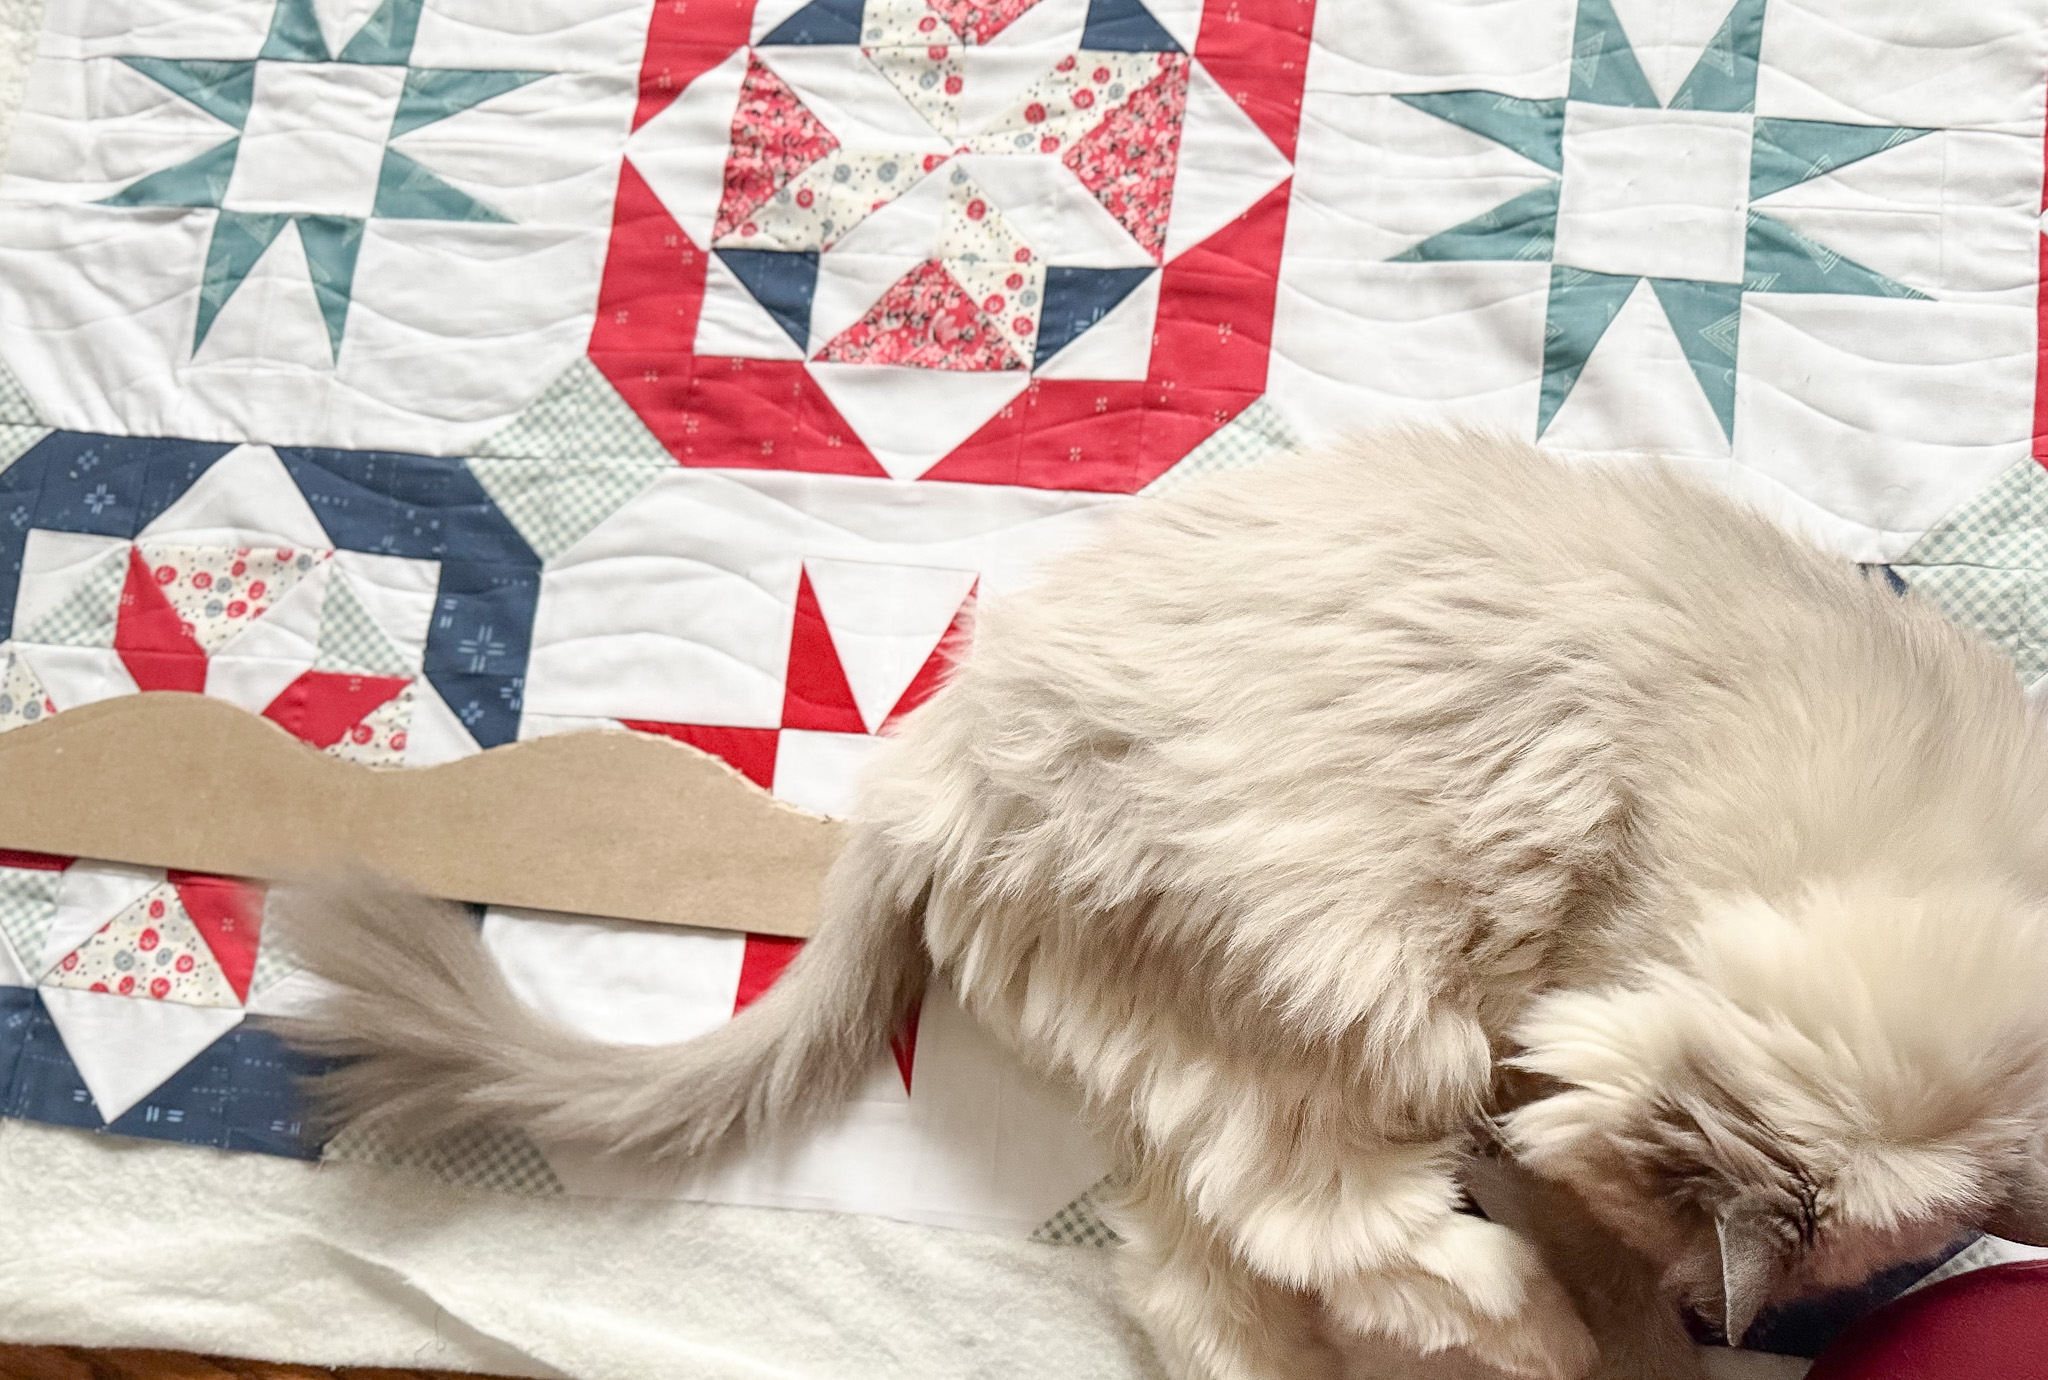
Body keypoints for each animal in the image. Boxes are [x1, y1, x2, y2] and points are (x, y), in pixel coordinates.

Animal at [274, 428, 2048, 1380]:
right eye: (1669, 1242)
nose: (1695, 1305)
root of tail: (930, 767)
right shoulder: (1560, 989)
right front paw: (1600, 1307)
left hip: (1223, 1038)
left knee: (1202, 1270)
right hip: (1361, 994)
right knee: (1308, 1225)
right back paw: (1521, 1322)